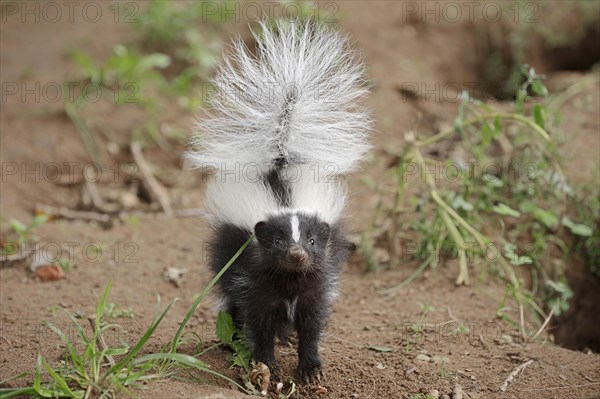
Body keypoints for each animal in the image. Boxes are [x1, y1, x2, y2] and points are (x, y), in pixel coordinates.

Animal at [188, 19, 372, 384]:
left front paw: (310, 367)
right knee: (230, 298)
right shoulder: (255, 279)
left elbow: (312, 324)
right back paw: (233, 337)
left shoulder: (317, 281)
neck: (290, 280)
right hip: (226, 255)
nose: (297, 255)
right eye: (276, 240)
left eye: (312, 240)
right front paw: (266, 363)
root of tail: (278, 162)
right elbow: (258, 320)